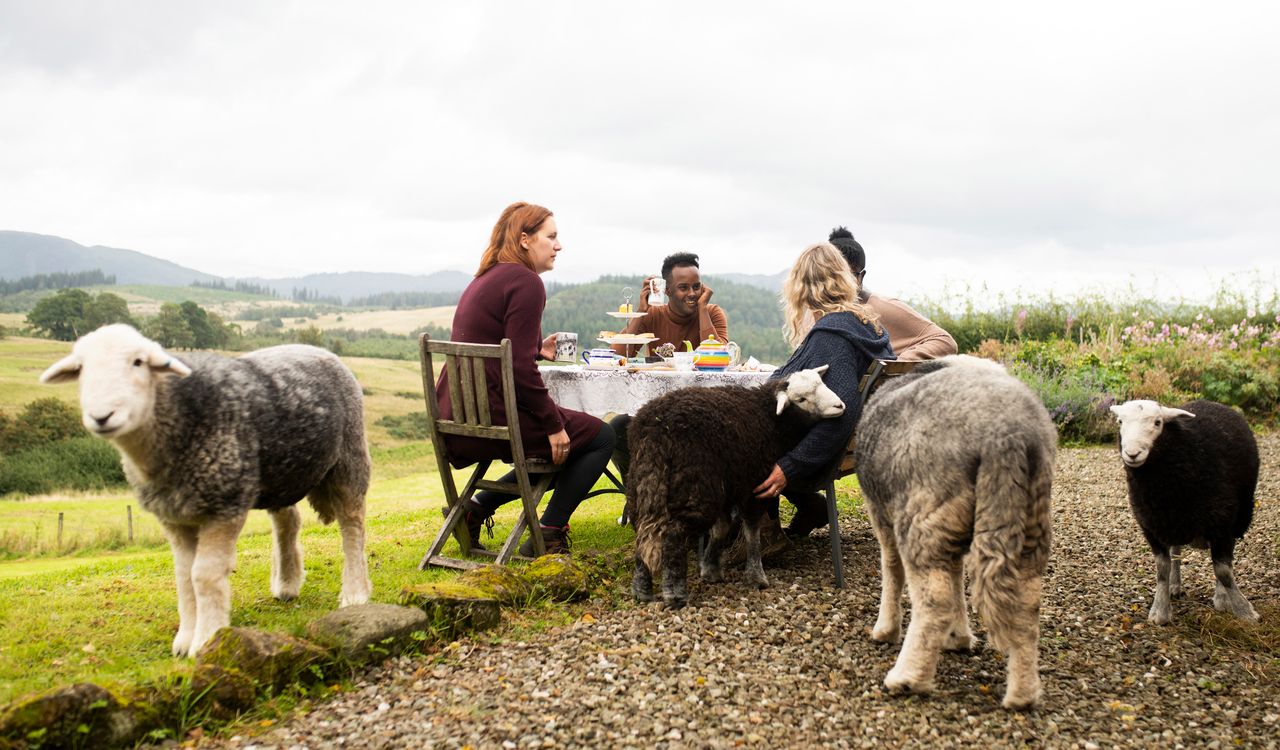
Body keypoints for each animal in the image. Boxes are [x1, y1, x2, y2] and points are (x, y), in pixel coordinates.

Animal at [40, 321, 371, 655]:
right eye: (81, 369)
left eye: (138, 362)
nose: (101, 416)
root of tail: (314, 348)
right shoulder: (173, 517)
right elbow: (184, 576)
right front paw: (185, 639)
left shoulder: (224, 506)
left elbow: (204, 575)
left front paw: (206, 639)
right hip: (281, 470)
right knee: (288, 521)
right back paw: (287, 583)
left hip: (349, 458)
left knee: (352, 525)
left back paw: (354, 593)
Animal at [627, 366, 844, 606]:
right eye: (801, 399)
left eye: (822, 384)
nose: (840, 406)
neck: (770, 418)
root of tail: (656, 431)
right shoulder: (755, 486)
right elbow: (751, 530)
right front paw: (756, 577)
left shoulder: (729, 486)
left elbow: (721, 527)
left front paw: (710, 570)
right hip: (696, 488)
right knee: (672, 535)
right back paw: (675, 594)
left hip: (642, 484)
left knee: (643, 531)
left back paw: (641, 588)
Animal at [855, 355, 1054, 706]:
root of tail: (1007, 433)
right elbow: (957, 576)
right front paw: (959, 636)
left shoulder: (881, 513)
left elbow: (892, 570)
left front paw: (885, 629)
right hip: (1026, 517)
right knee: (1027, 605)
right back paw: (1023, 693)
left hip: (923, 515)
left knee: (935, 602)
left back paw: (908, 677)